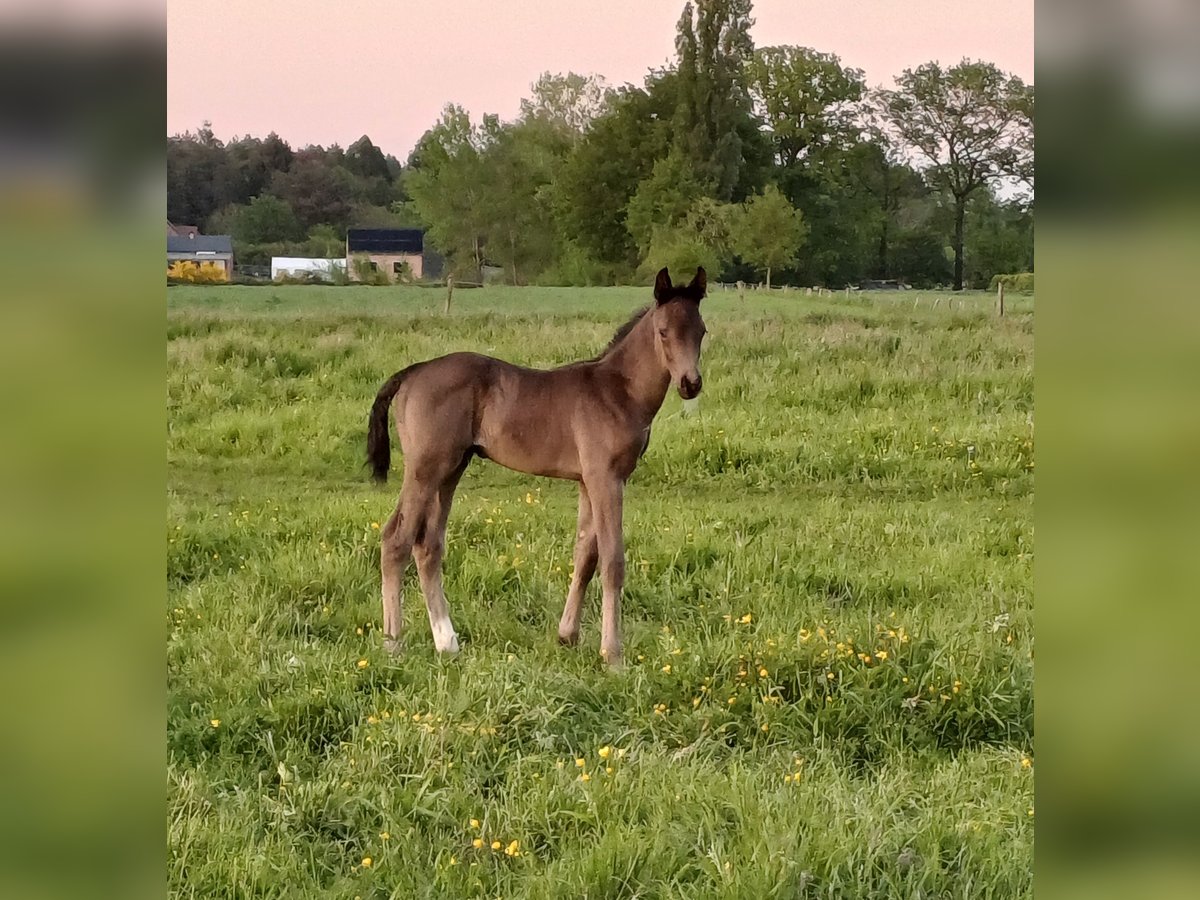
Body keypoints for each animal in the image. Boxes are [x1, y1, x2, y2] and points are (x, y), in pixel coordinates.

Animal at [364, 264, 700, 667]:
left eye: (701, 331)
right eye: (663, 331)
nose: (690, 384)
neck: (618, 392)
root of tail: (413, 373)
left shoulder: (587, 480)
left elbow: (585, 554)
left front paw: (568, 636)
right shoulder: (607, 477)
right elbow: (612, 560)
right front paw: (613, 654)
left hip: (451, 469)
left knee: (427, 544)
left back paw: (447, 642)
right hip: (425, 469)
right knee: (396, 539)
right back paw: (394, 643)